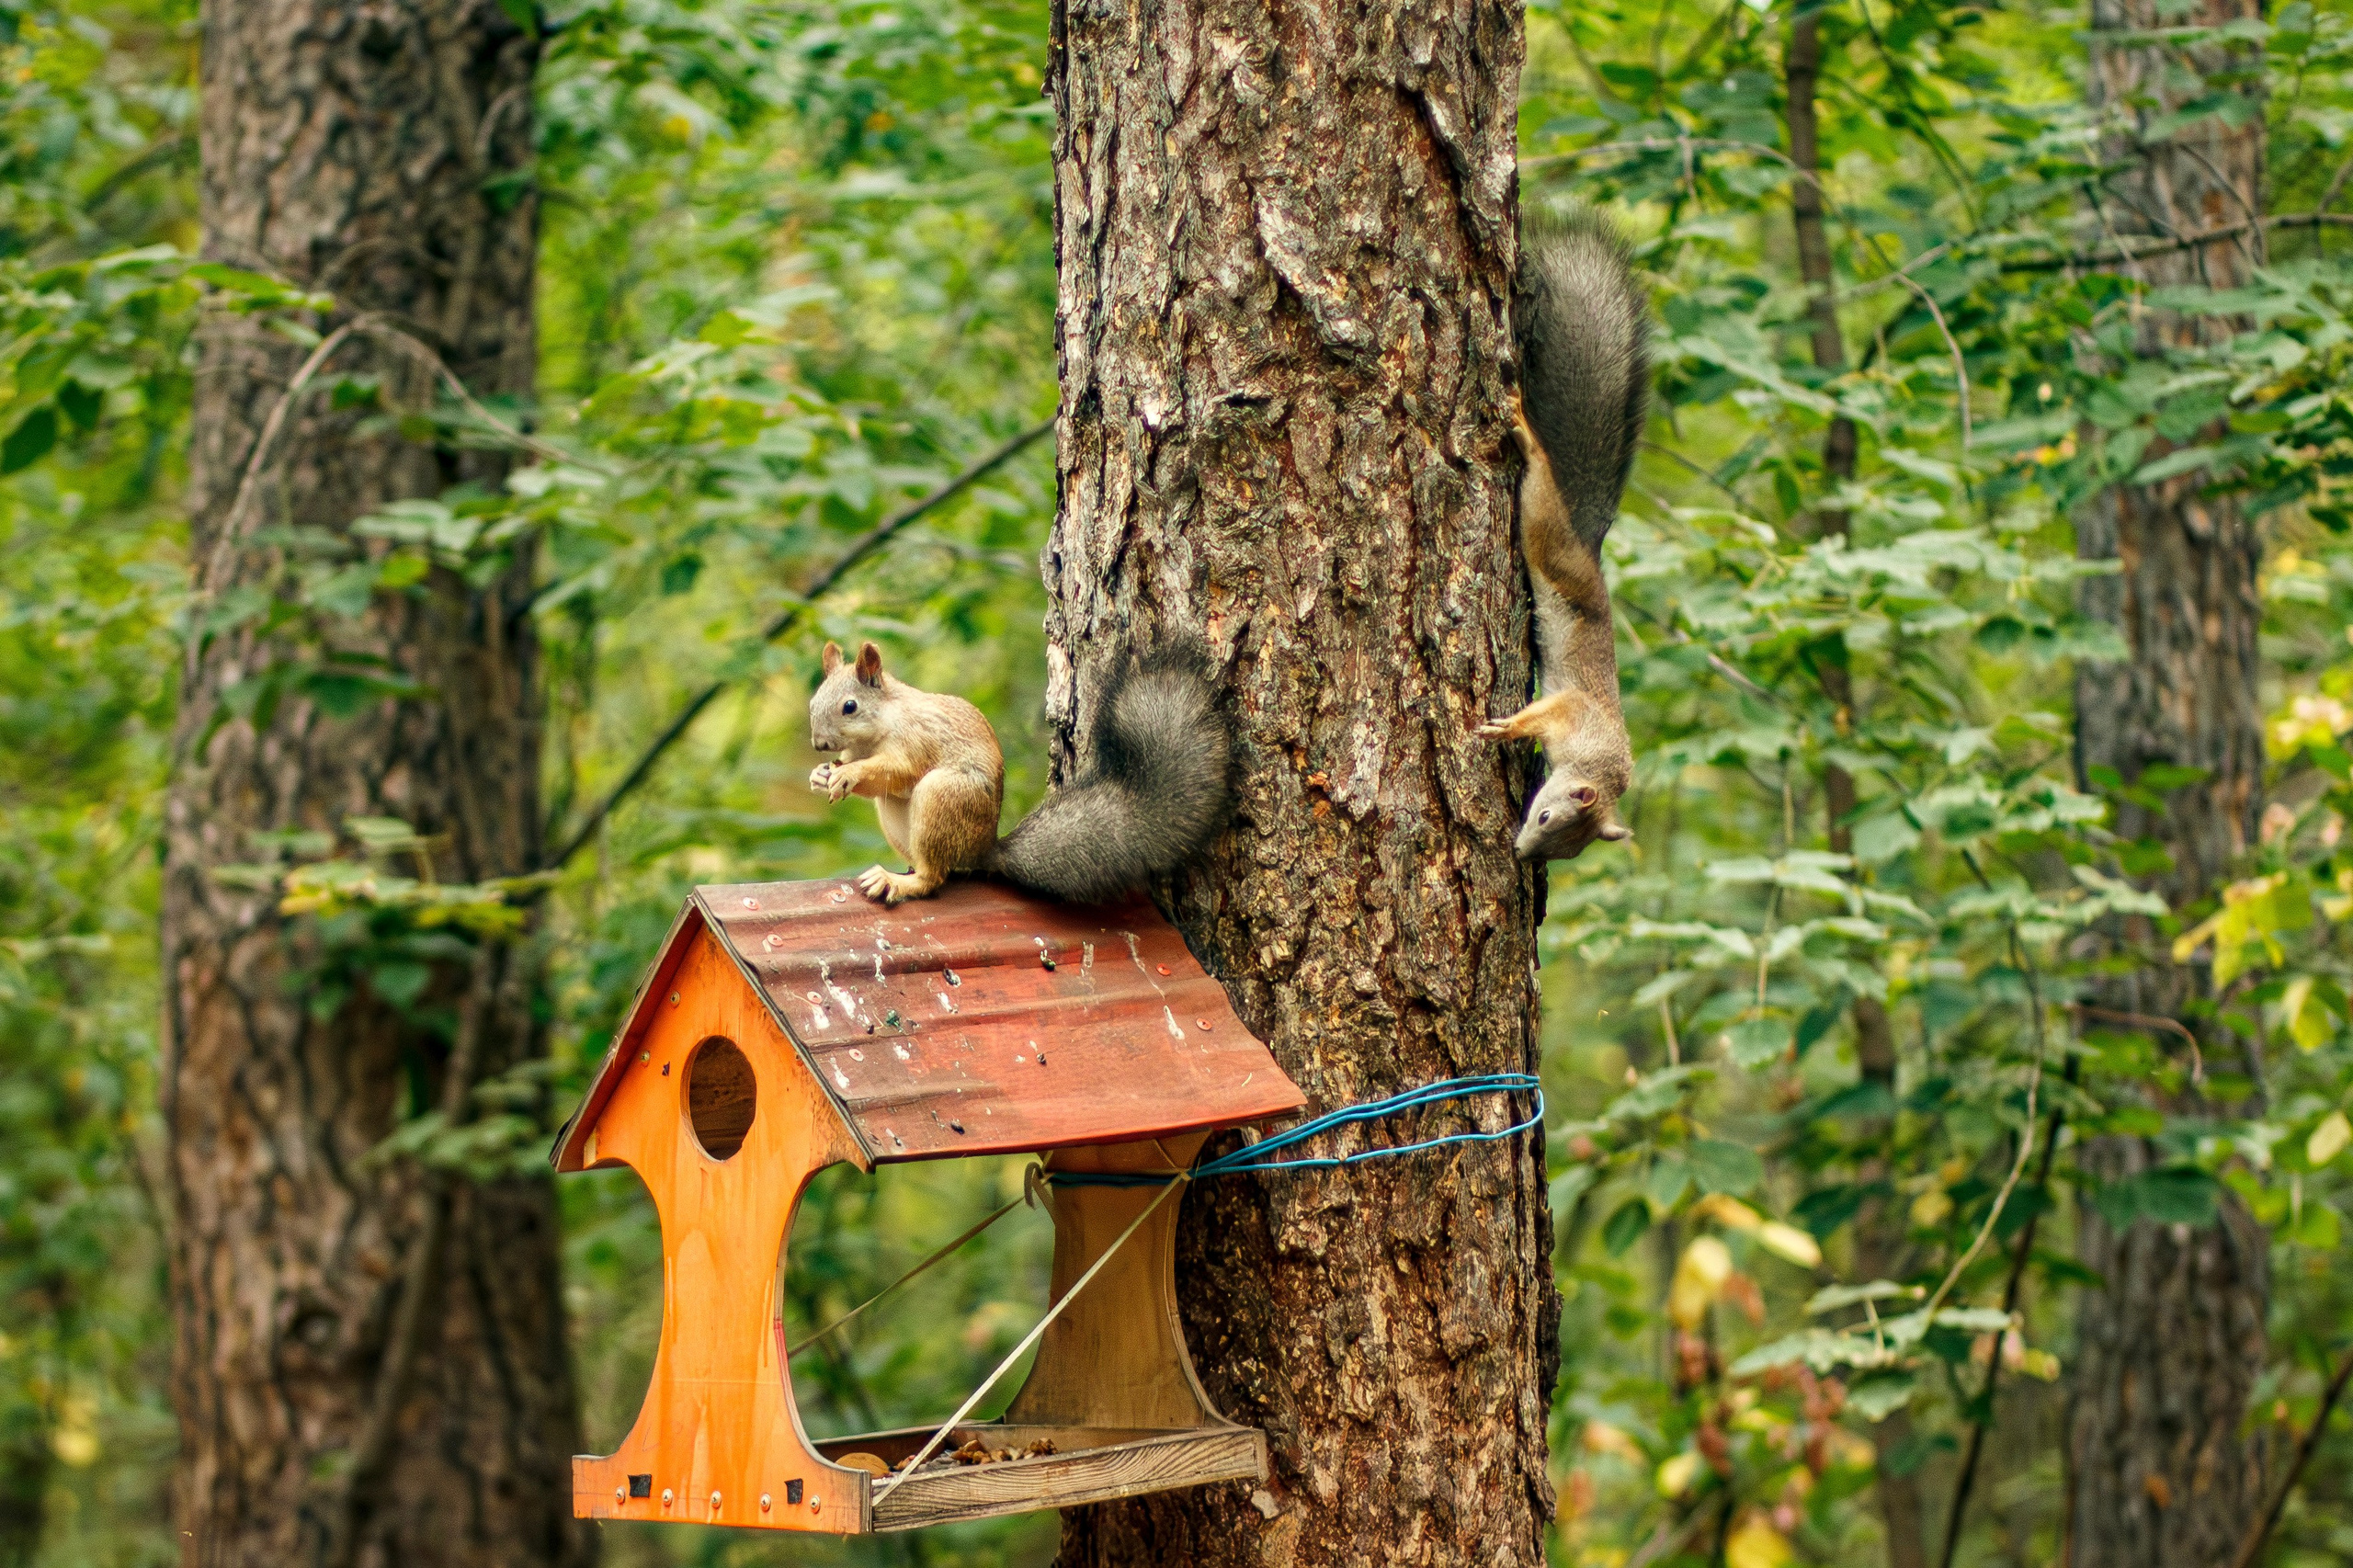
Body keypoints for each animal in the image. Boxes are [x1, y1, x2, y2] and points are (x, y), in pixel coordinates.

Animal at [806, 639, 1232, 905]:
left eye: (849, 706)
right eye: (813, 703)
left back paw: (899, 881)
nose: (819, 743)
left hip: (945, 796)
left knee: (935, 877)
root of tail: (984, 850)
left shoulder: (916, 739)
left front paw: (848, 774)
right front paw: (821, 774)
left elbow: (897, 771)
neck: (877, 729)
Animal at [1476, 206, 1652, 862]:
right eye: (1546, 816)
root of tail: (1586, 548)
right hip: (1546, 534)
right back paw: (1526, 437)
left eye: (1566, 850)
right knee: (1542, 483)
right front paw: (1508, 726)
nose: (1523, 856)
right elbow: (1540, 714)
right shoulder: (1572, 711)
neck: (1600, 765)